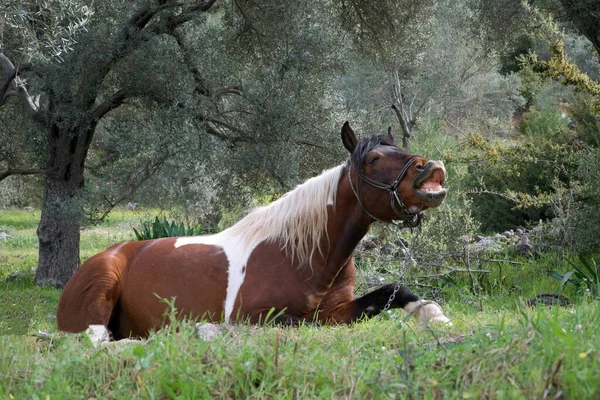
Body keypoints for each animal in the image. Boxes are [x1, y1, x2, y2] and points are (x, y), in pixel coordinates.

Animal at [57, 120, 450, 340]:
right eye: (373, 159)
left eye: (400, 148)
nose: (431, 170)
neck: (304, 255)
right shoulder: (256, 315)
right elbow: (298, 323)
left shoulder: (336, 312)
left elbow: (393, 291)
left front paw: (436, 316)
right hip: (101, 293)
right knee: (95, 339)